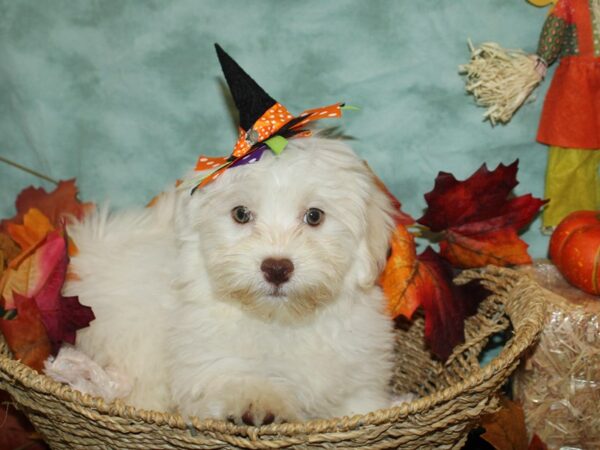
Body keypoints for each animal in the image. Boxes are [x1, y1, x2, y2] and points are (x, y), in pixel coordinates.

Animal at [64, 138, 398, 426]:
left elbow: (359, 406)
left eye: (314, 216)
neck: (282, 321)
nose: (277, 268)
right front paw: (259, 403)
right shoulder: (206, 364)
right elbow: (236, 380)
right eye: (241, 214)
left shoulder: (359, 379)